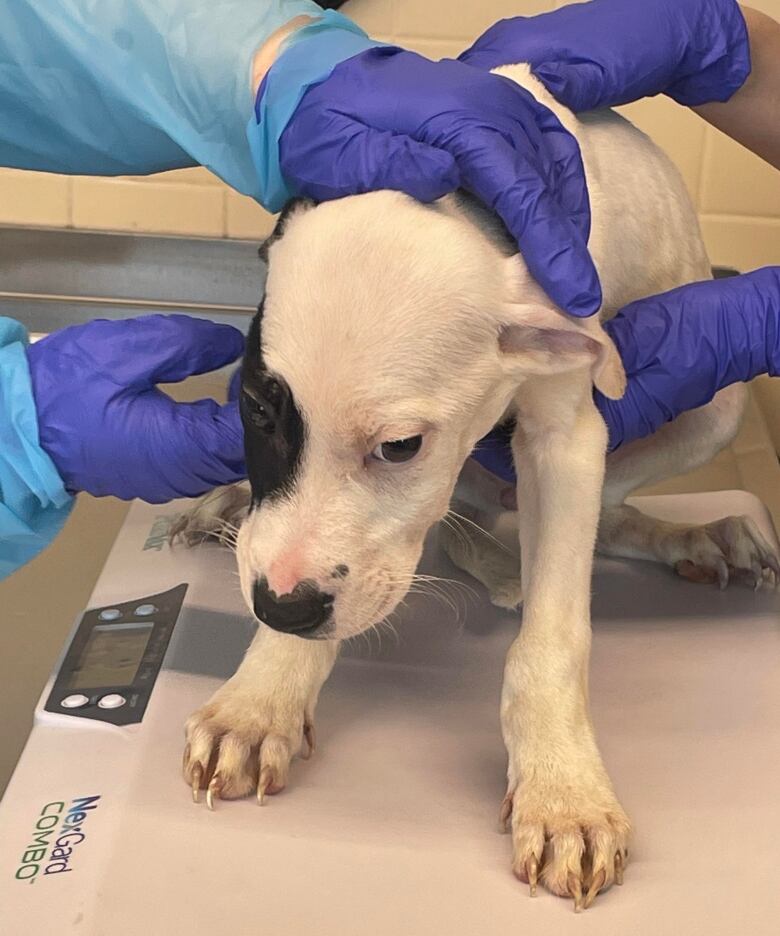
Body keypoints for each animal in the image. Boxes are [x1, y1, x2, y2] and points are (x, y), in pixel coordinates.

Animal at [178, 64, 780, 908]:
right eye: (257, 408)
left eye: (401, 447)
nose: (280, 607)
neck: (469, 200)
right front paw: (264, 696)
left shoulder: (567, 437)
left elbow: (554, 634)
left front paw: (563, 791)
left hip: (716, 410)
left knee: (586, 513)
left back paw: (687, 537)